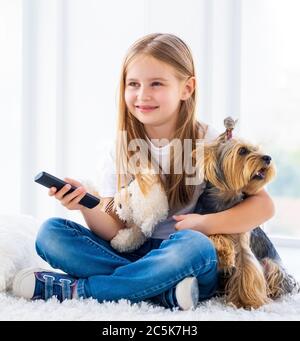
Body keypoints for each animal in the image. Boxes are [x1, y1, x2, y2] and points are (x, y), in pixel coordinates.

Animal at [193, 118, 298, 310]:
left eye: (258, 149)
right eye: (242, 151)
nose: (268, 158)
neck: (225, 199)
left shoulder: (243, 242)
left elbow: (246, 269)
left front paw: (245, 302)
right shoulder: (202, 220)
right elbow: (213, 234)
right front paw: (225, 252)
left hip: (272, 264)